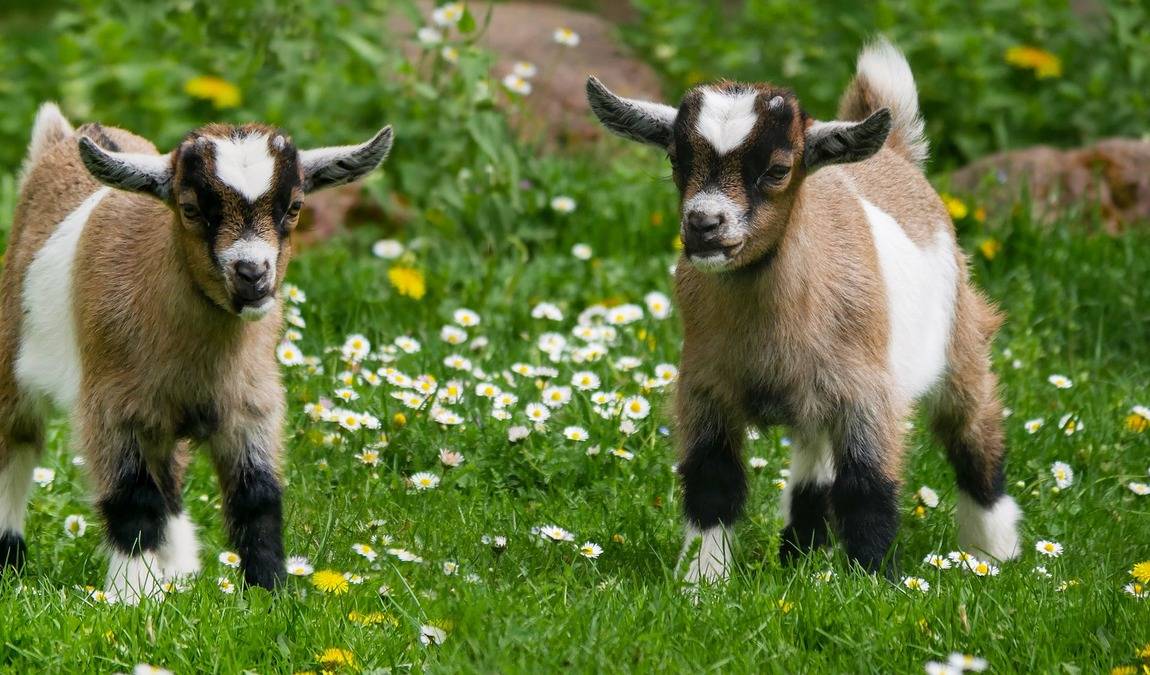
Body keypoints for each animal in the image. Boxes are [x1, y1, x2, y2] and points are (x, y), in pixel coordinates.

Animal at [0, 103, 392, 602]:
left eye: (294, 207)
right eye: (190, 209)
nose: (252, 274)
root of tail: (64, 138)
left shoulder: (251, 405)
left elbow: (257, 497)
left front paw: (270, 592)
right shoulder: (113, 407)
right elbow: (132, 498)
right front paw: (129, 598)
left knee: (170, 476)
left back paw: (179, 572)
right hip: (13, 354)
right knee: (18, 441)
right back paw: (10, 558)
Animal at [587, 39, 1021, 582]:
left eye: (777, 169)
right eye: (675, 160)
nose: (703, 224)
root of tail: (896, 154)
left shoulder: (868, 394)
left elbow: (867, 487)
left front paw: (874, 582)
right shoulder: (704, 387)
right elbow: (713, 482)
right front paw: (702, 581)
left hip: (959, 340)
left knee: (973, 434)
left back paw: (993, 554)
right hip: (814, 399)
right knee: (814, 464)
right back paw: (800, 553)